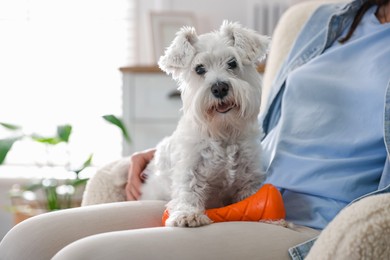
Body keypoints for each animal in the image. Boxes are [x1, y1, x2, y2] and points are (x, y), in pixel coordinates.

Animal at [141, 20, 272, 228]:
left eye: (232, 63)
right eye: (199, 69)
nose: (220, 88)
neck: (223, 130)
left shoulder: (248, 176)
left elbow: (250, 196)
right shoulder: (189, 168)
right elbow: (188, 192)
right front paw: (187, 215)